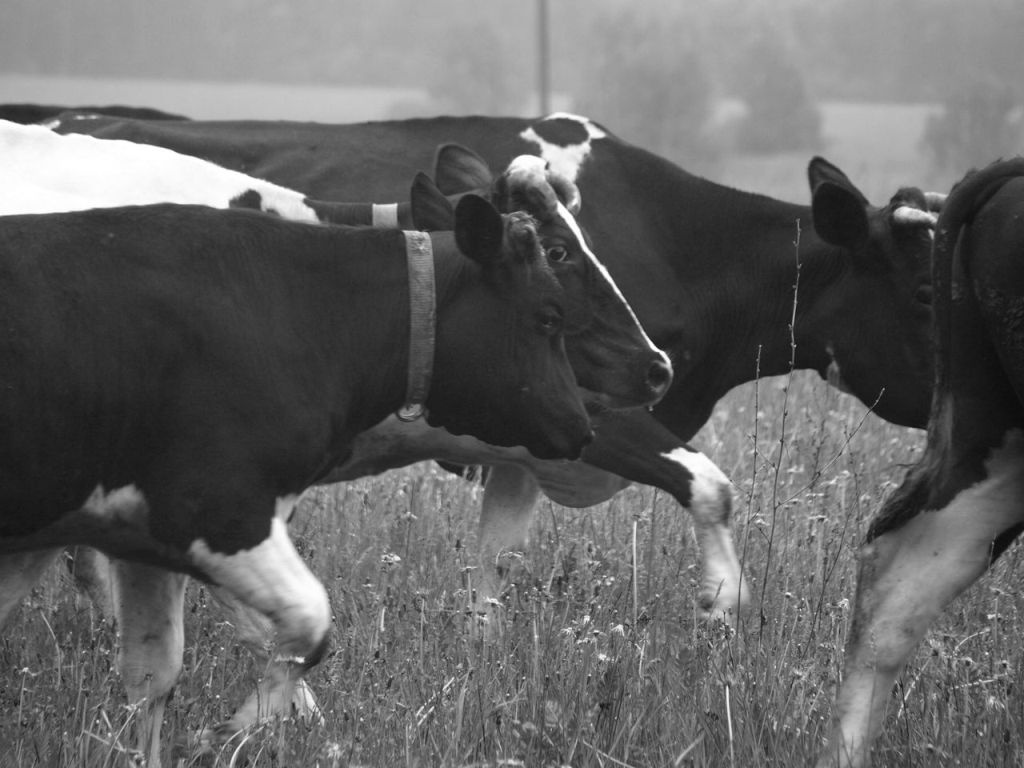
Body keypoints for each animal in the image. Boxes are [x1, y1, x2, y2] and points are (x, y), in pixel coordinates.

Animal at [0, 196, 595, 765]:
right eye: (549, 318)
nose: (583, 428)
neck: (303, 315)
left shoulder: (134, 539)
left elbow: (152, 674)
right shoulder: (218, 509)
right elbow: (311, 623)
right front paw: (226, 731)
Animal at [54, 112, 941, 632]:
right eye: (928, 291)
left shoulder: (530, 440)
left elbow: (497, 566)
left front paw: (485, 654)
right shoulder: (591, 406)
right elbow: (710, 483)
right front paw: (721, 606)